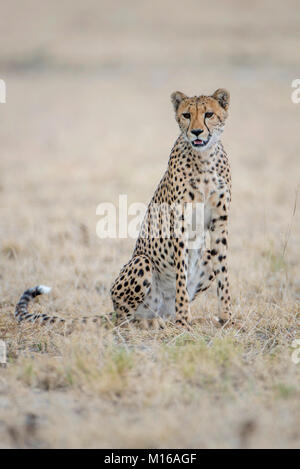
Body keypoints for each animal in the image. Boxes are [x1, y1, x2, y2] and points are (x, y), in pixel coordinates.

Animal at [15, 88, 233, 330]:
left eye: (209, 114)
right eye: (186, 115)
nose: (196, 132)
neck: (204, 158)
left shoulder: (220, 223)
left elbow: (224, 274)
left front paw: (227, 318)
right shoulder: (179, 224)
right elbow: (181, 280)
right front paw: (184, 321)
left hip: (203, 259)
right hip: (142, 263)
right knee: (126, 320)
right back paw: (154, 323)